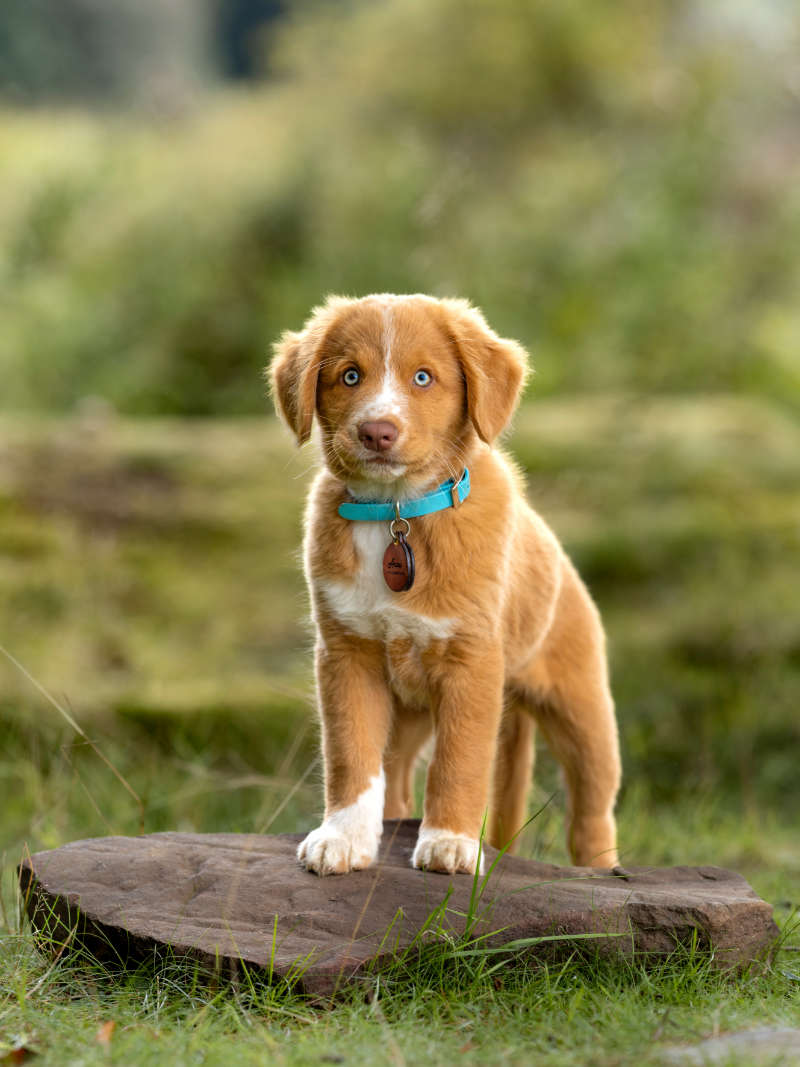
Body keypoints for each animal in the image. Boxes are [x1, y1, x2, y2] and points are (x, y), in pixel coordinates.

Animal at [269, 294, 618, 874]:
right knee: (395, 781)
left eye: (423, 377)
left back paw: (601, 871)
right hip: (407, 715)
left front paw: (450, 842)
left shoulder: (470, 663)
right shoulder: (346, 654)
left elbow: (460, 761)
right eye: (349, 376)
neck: (395, 515)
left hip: (581, 708)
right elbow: (350, 754)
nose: (377, 432)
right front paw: (343, 838)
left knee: (592, 807)